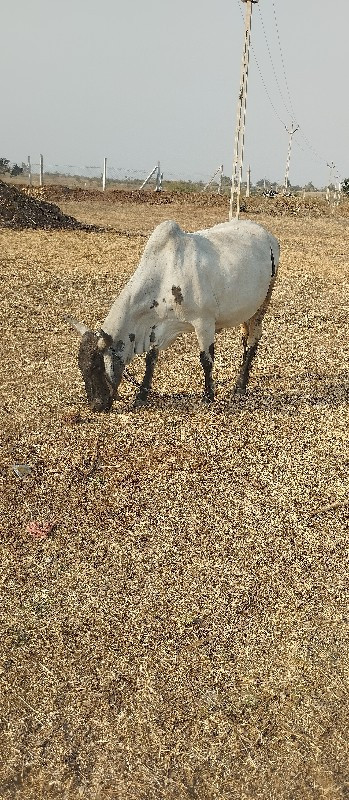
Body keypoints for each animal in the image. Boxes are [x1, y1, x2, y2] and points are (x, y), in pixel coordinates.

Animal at [66, 219, 280, 412]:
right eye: (81, 367)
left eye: (97, 367)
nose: (96, 406)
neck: (164, 274)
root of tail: (268, 235)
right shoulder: (158, 327)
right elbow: (151, 359)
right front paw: (141, 396)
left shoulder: (204, 322)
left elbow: (206, 360)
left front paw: (208, 396)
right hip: (247, 308)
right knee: (245, 338)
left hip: (263, 303)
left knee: (253, 340)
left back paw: (240, 386)